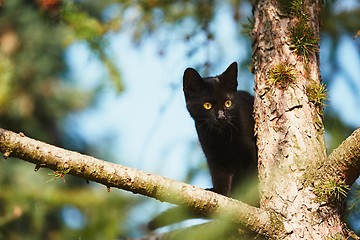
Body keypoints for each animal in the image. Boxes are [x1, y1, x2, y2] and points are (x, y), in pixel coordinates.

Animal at [184, 61, 258, 197]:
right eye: (207, 105)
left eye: (228, 103)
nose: (221, 116)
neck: (221, 138)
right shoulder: (215, 158)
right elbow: (220, 177)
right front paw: (218, 192)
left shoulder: (250, 150)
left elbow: (250, 177)